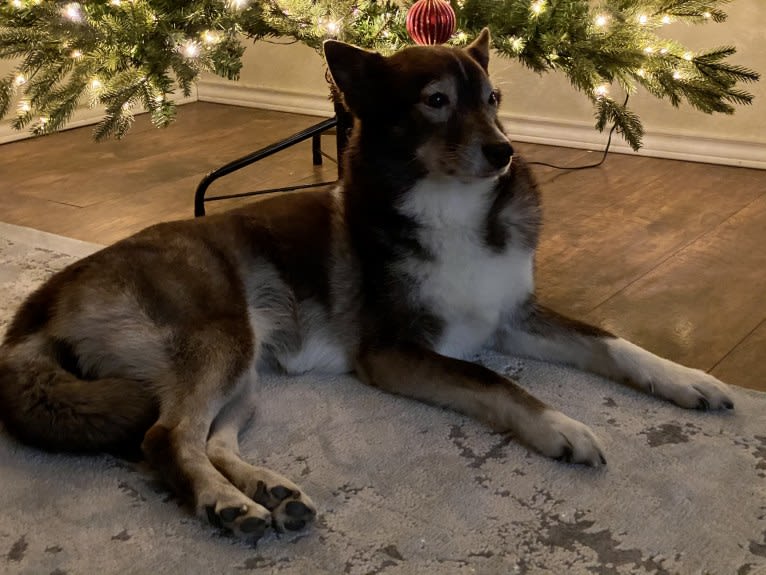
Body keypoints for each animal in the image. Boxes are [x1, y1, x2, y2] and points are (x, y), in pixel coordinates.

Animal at [0, 30, 736, 544]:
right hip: (220, 336)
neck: (450, 208)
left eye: (493, 100)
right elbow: (494, 381)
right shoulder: (392, 352)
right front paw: (563, 427)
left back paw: (270, 491)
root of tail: (43, 299)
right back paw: (227, 504)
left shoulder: (513, 315)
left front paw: (689, 381)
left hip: (246, 369)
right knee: (165, 436)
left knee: (211, 438)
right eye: (436, 102)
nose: (504, 153)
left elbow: (608, 341)